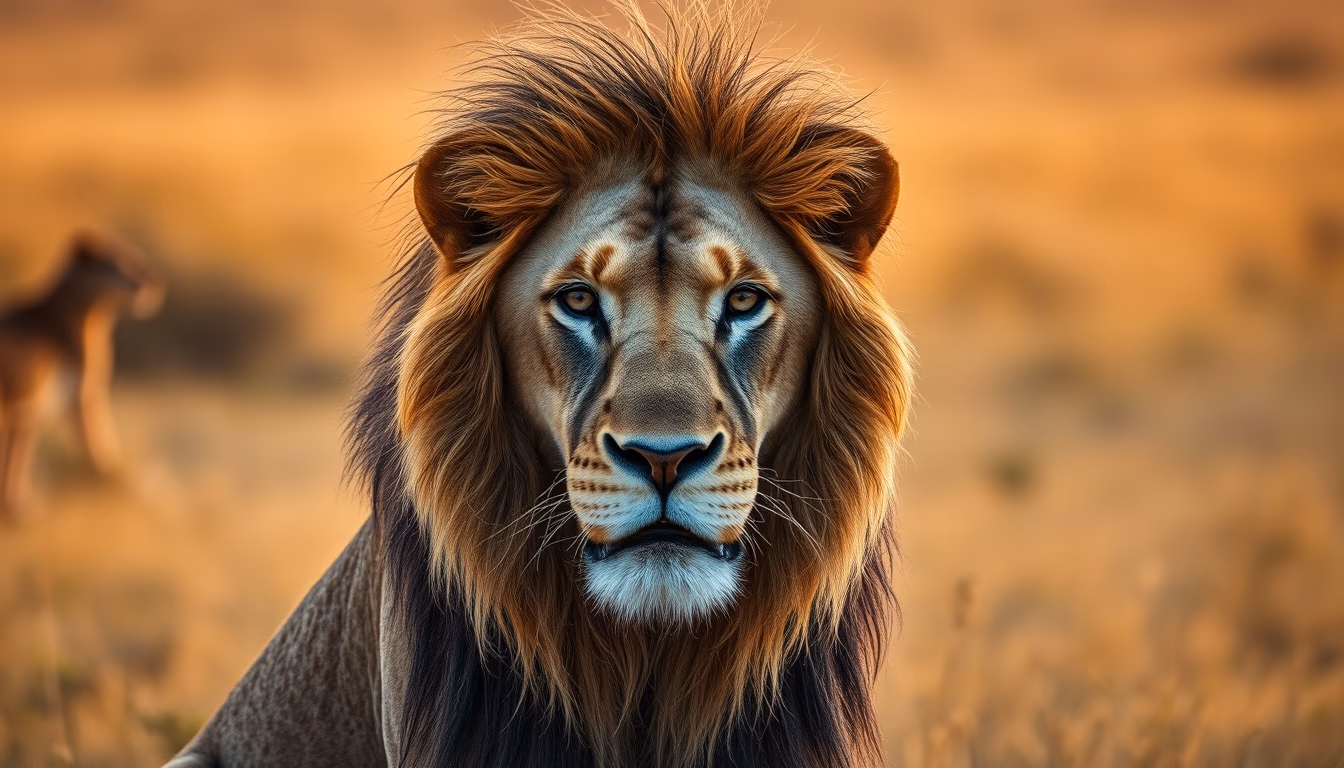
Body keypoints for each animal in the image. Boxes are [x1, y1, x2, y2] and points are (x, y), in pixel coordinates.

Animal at [0, 231, 163, 518]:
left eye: (138, 254)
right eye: (126, 261)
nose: (155, 281)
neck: (94, 317)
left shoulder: (30, 415)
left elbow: (16, 464)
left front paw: (20, 510)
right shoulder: (82, 398)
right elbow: (101, 444)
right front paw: (120, 483)